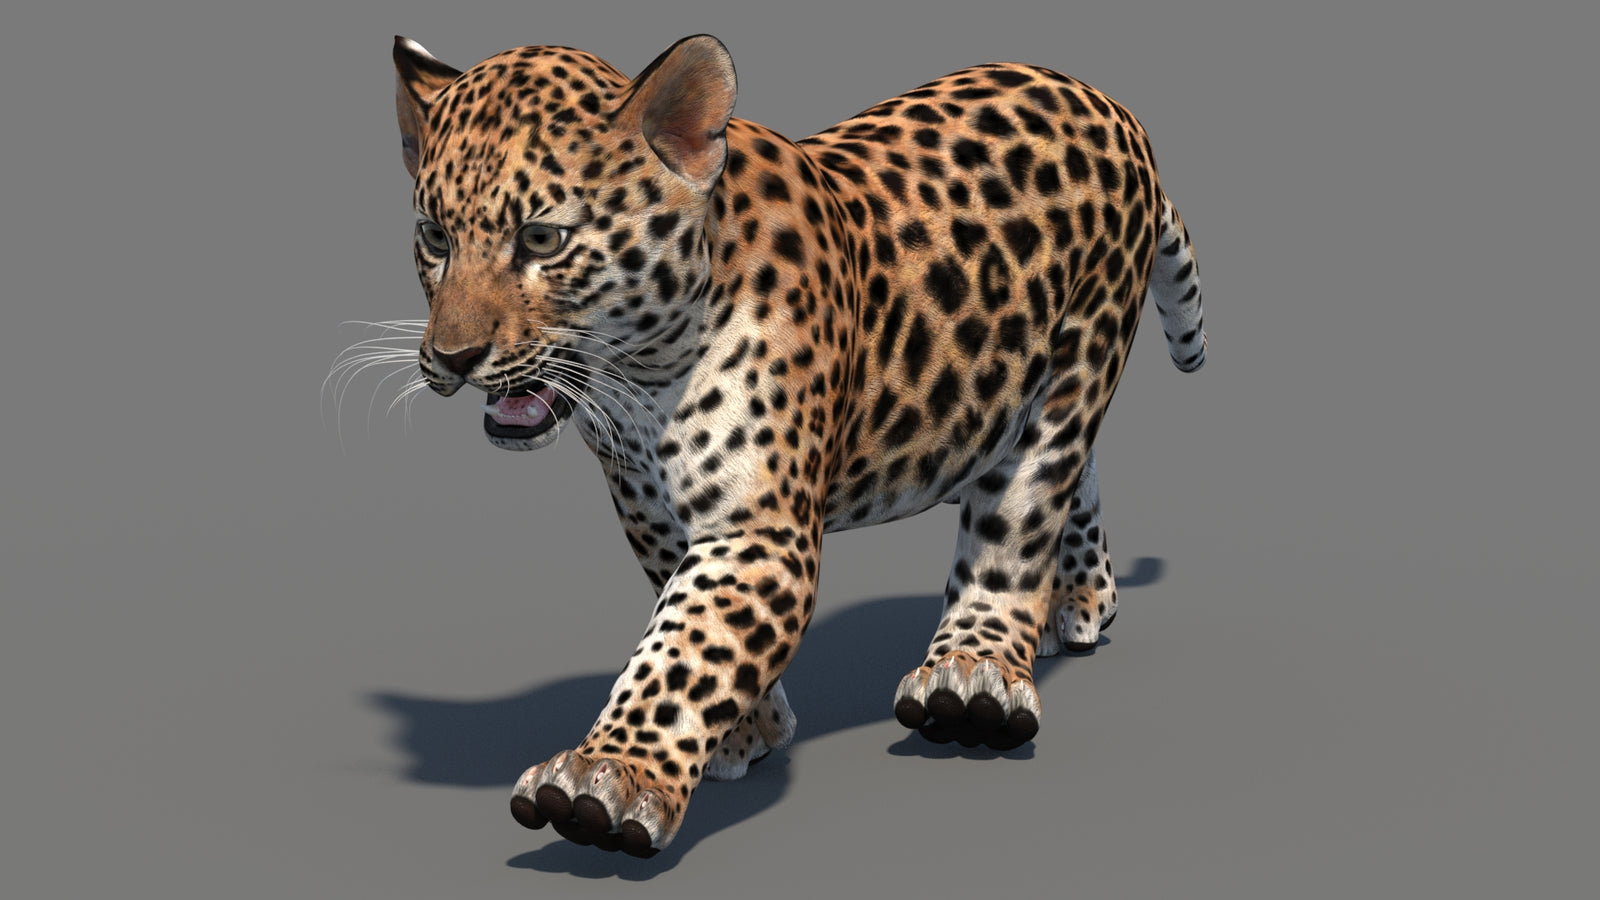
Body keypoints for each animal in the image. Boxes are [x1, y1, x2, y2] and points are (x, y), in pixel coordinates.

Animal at [383, 32, 1207, 857]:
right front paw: (745, 731)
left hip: (1082, 348)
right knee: (1073, 470)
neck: (642, 379)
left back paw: (976, 672)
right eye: (434, 238)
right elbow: (691, 620)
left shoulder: (759, 529)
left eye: (542, 239)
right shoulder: (648, 507)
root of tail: (1105, 101)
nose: (453, 358)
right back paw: (1080, 597)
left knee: (1024, 506)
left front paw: (609, 774)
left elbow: (685, 650)